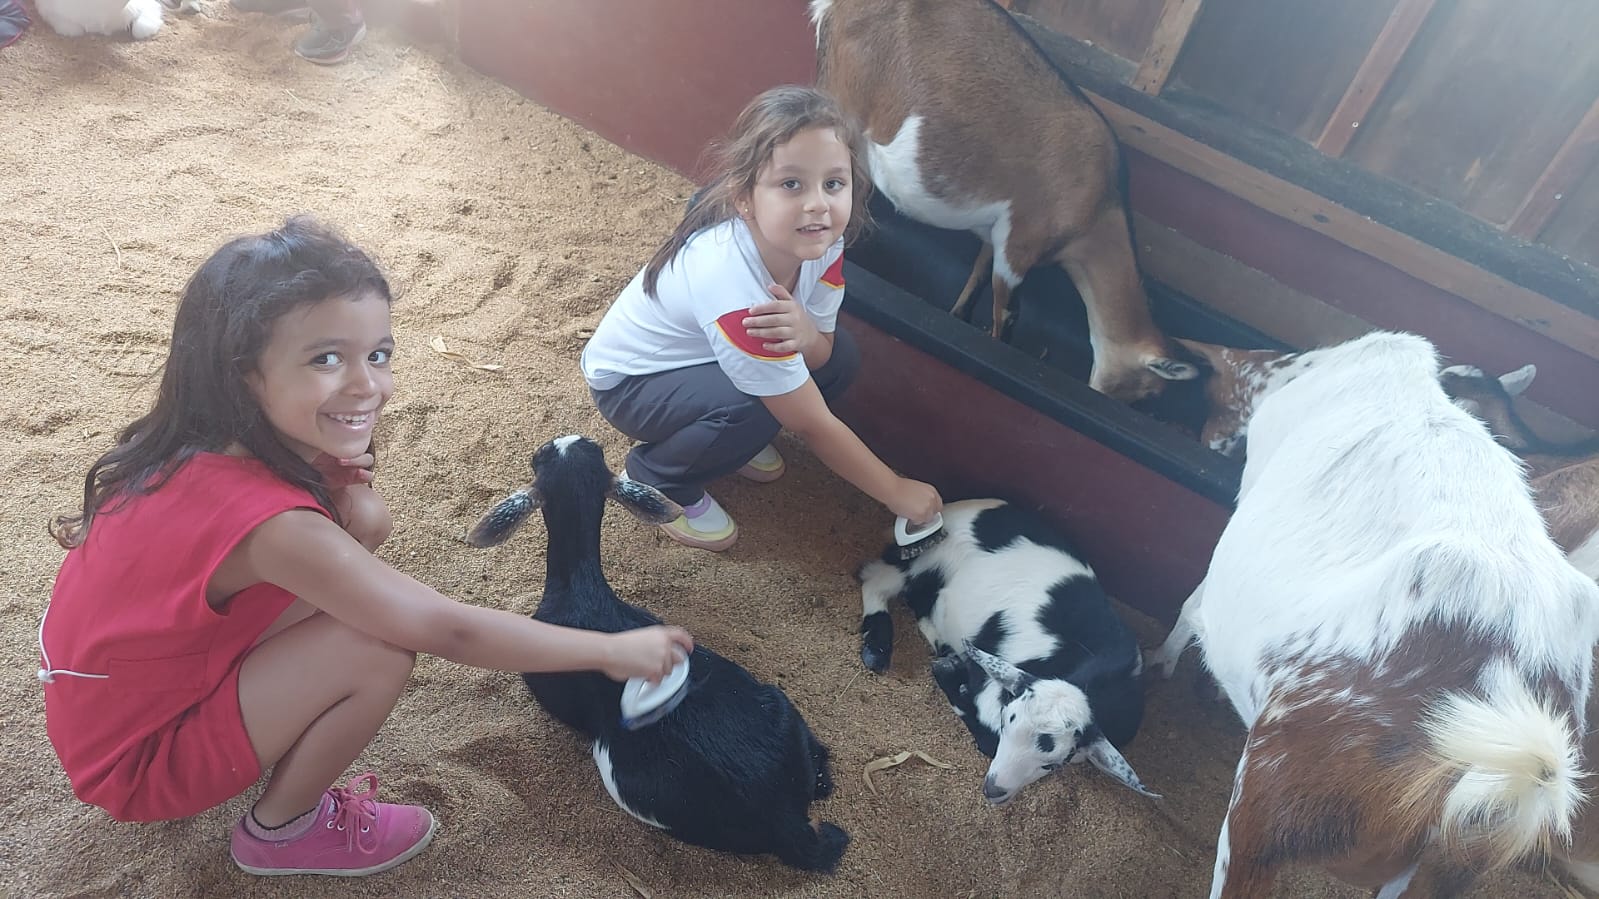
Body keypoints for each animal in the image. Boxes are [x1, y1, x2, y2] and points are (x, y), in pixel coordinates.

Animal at [465, 434, 847, 873]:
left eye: (539, 456)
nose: (564, 440)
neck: (581, 587)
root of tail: (786, 817)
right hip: (778, 702)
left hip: (626, 778)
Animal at [811, 0, 1199, 403]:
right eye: (1150, 393)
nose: (1109, 398)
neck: (1098, 212)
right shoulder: (1020, 246)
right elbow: (1006, 312)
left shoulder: (996, 233)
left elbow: (978, 274)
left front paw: (958, 316)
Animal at [857, 498, 1156, 805]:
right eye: (1006, 724)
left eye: (1054, 764)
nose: (993, 790)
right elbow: (986, 736)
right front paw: (949, 671)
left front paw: (951, 667)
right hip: (920, 560)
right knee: (875, 580)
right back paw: (877, 650)